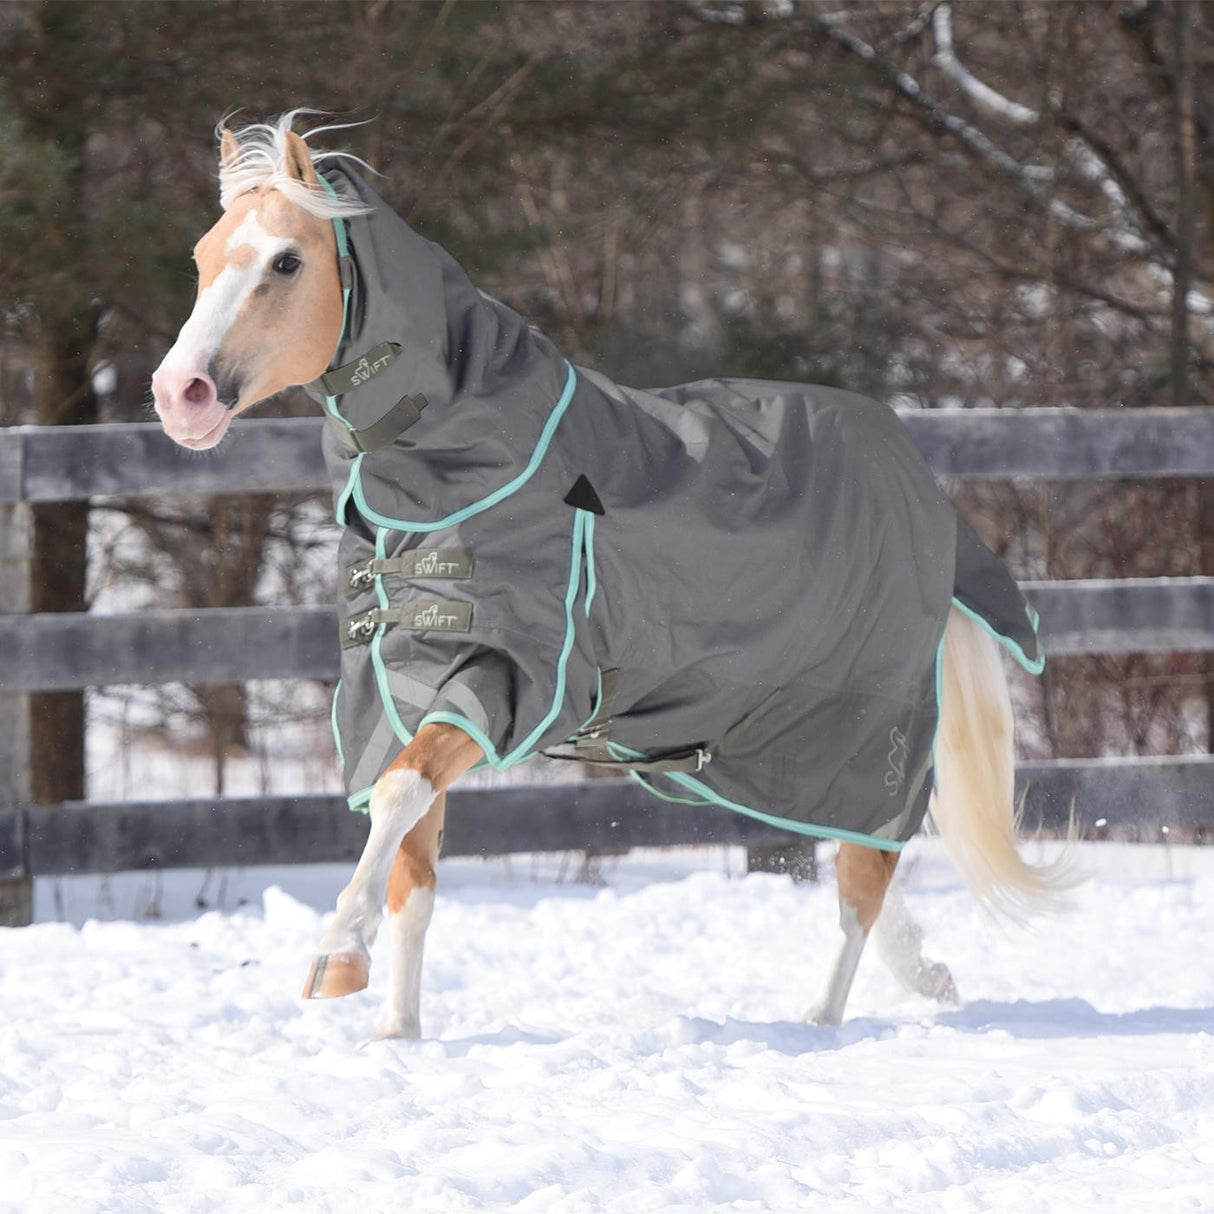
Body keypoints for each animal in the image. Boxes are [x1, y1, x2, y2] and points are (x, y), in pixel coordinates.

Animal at [151, 113, 1073, 1040]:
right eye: (202, 255)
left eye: (286, 262)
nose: (178, 394)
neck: (458, 469)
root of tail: (920, 478)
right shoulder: (402, 687)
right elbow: (413, 866)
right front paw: (395, 1029)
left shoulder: (506, 680)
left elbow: (400, 793)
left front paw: (336, 953)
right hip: (745, 747)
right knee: (856, 855)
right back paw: (926, 973)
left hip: (859, 724)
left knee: (862, 877)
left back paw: (821, 1018)